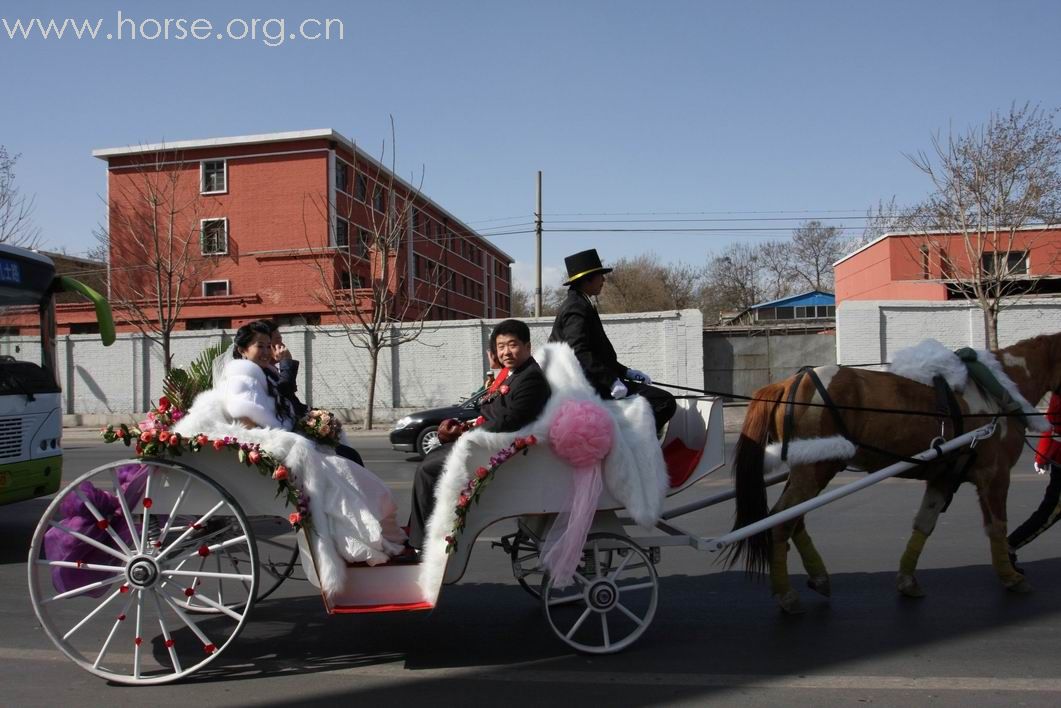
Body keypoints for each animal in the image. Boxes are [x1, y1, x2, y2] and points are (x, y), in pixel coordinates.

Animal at [729, 333, 1061, 615]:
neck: (997, 393)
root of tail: (788, 384)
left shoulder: (943, 478)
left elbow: (924, 524)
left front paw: (907, 581)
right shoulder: (995, 477)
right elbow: (997, 527)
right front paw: (1011, 576)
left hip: (813, 468)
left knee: (793, 517)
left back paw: (819, 577)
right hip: (816, 467)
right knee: (782, 519)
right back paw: (786, 595)